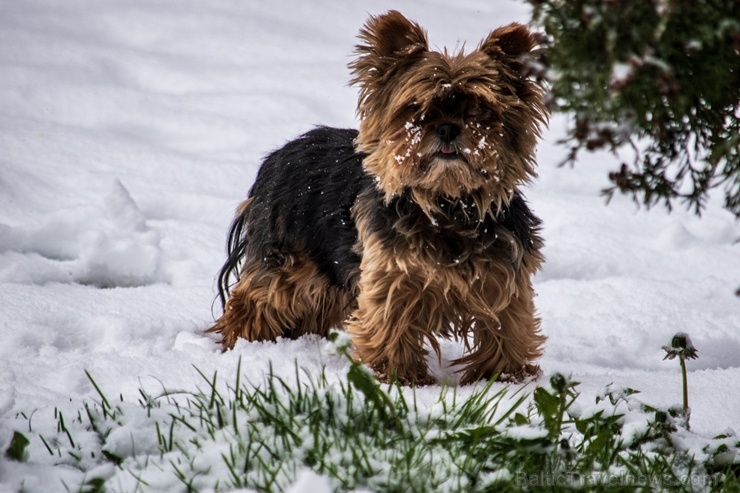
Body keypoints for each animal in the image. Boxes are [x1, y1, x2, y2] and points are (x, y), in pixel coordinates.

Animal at [211, 10, 548, 384]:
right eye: (416, 107)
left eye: (480, 109)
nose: (447, 128)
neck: (447, 204)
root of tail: (275, 157)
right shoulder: (392, 275)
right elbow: (390, 324)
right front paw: (400, 378)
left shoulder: (503, 278)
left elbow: (505, 327)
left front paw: (504, 379)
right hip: (286, 257)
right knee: (257, 299)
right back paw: (244, 346)